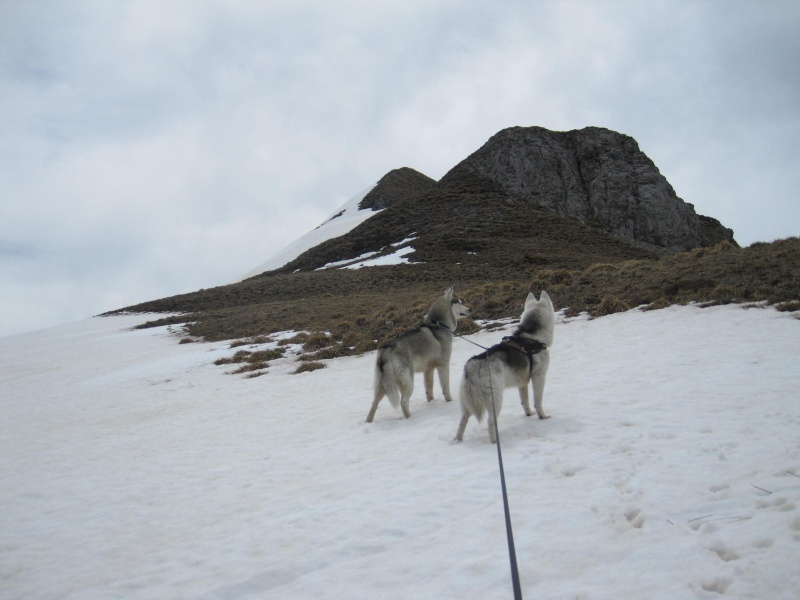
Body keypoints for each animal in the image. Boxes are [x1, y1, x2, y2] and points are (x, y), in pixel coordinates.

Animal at [368, 290, 472, 422]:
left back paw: (368, 422)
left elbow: (429, 388)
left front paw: (431, 402)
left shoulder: (428, 369)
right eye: (460, 302)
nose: (470, 309)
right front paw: (449, 401)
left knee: (373, 404)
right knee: (403, 402)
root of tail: (385, 349)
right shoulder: (443, 365)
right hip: (408, 382)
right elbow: (445, 387)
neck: (439, 324)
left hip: (382, 386)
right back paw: (410, 418)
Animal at [456, 292, 556, 442]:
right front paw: (542, 416)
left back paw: (457, 440)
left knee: (462, 421)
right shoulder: (539, 377)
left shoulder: (522, 383)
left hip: (468, 402)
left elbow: (525, 401)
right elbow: (538, 401)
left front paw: (529, 414)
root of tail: (474, 364)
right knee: (491, 422)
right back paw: (494, 441)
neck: (533, 337)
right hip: (495, 399)